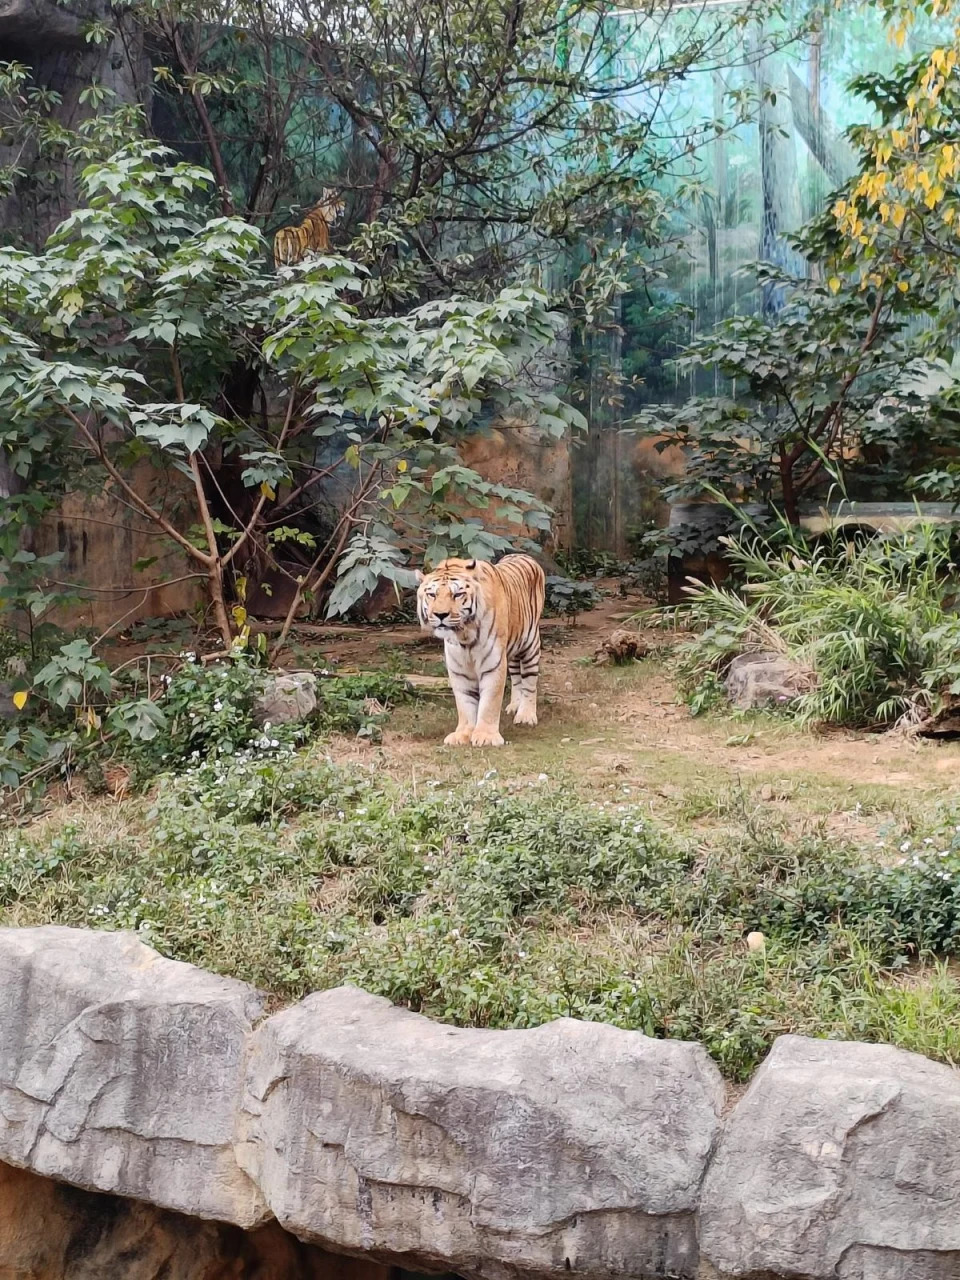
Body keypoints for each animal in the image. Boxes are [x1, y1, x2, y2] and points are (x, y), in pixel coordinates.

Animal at [414, 552, 545, 747]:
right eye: (432, 594)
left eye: (457, 594)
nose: (440, 615)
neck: (464, 636)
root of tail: (521, 554)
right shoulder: (458, 668)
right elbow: (464, 703)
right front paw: (463, 734)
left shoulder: (493, 662)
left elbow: (490, 702)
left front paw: (486, 736)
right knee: (516, 677)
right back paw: (514, 706)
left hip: (530, 645)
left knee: (529, 681)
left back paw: (525, 716)